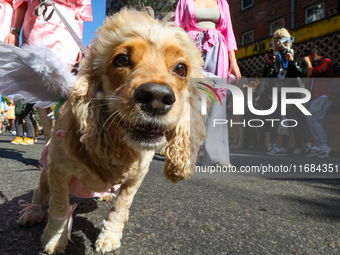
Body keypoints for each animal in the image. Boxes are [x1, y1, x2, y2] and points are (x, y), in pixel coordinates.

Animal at [16, 7, 210, 253]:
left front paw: (109, 236)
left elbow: (121, 206)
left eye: (181, 68)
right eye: (122, 59)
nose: (157, 97)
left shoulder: (137, 175)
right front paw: (54, 239)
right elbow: (59, 206)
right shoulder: (58, 168)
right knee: (39, 194)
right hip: (45, 172)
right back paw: (31, 213)